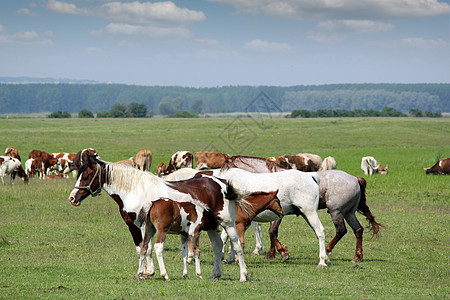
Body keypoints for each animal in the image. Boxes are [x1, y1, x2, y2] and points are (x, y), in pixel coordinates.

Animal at [69, 151, 250, 282]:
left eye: (86, 176)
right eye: (78, 174)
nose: (72, 198)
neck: (134, 190)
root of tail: (223, 183)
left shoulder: (143, 225)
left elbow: (148, 248)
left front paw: (149, 272)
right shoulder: (133, 226)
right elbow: (140, 248)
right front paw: (144, 272)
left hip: (228, 224)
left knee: (237, 246)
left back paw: (243, 275)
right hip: (212, 226)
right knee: (217, 245)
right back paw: (215, 274)